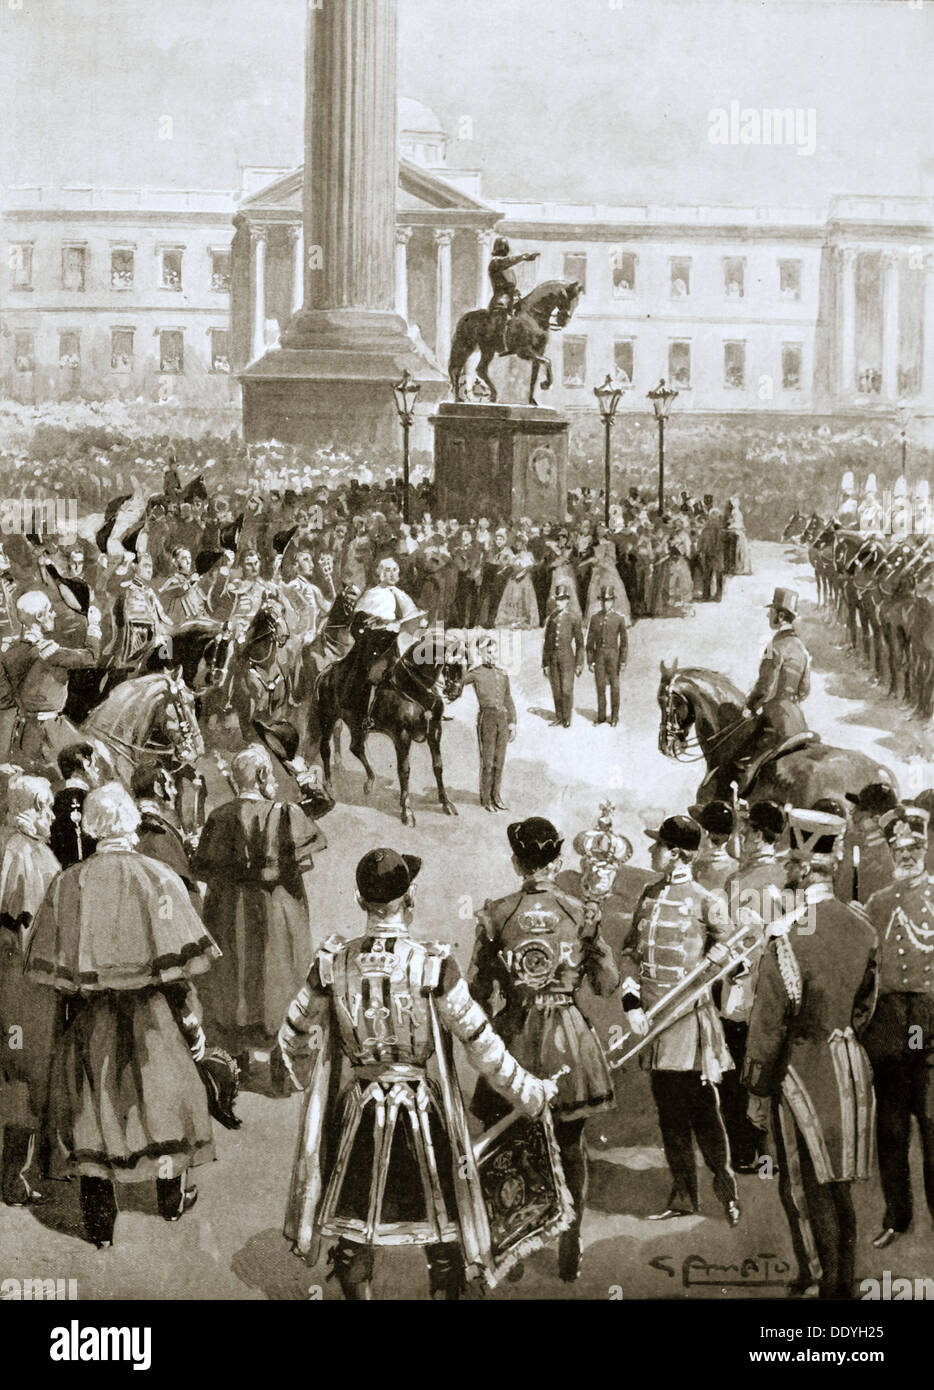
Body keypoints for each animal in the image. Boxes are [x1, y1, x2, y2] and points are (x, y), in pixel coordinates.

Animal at [311, 631, 464, 822]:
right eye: (451, 663)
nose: (455, 692)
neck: (414, 688)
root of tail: (326, 671)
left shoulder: (434, 731)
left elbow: (438, 766)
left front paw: (446, 803)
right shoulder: (402, 735)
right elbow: (404, 770)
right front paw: (407, 810)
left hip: (356, 723)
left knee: (356, 747)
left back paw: (369, 782)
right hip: (328, 718)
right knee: (325, 749)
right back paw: (329, 785)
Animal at [447, 278, 583, 405]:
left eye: (577, 302)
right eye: (567, 297)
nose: (563, 321)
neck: (532, 316)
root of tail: (465, 317)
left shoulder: (538, 352)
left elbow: (534, 377)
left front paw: (532, 400)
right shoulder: (524, 351)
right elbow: (548, 362)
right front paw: (546, 384)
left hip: (487, 350)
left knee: (481, 370)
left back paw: (493, 396)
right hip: (465, 347)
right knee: (456, 369)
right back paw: (458, 399)